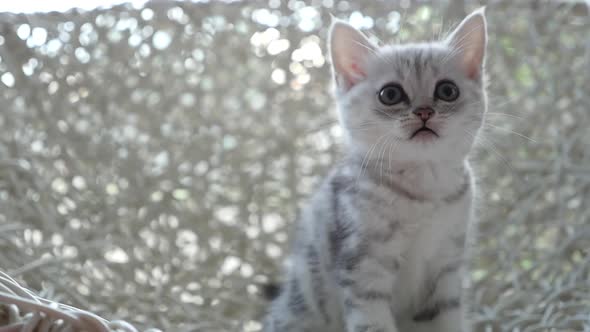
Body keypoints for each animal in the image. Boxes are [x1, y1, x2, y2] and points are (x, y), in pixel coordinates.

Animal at [266, 7, 488, 332]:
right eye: (390, 94)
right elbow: (373, 323)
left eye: (448, 91)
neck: (424, 191)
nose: (424, 111)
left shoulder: (446, 270)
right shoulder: (362, 269)